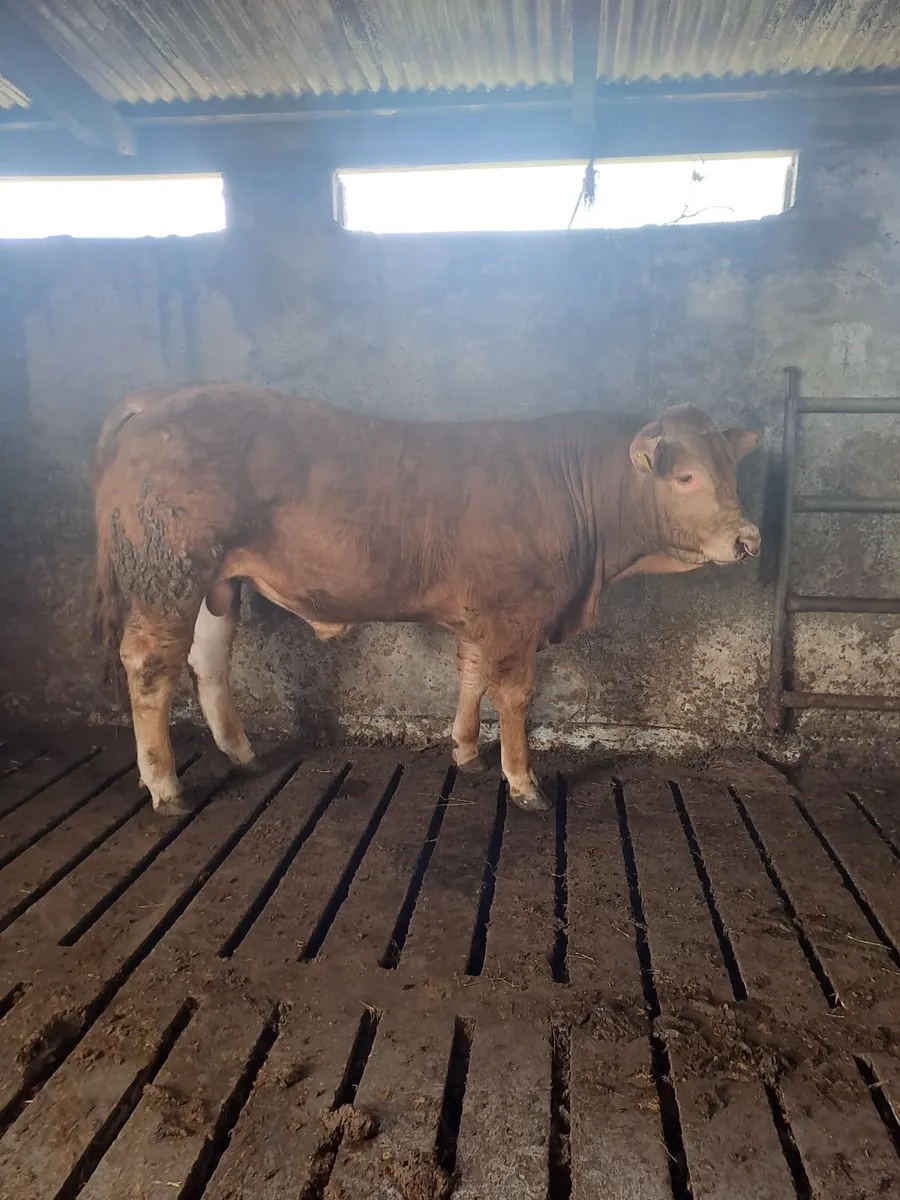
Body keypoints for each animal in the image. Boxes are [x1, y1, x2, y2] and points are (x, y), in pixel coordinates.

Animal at [92, 384, 760, 817]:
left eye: (731, 470)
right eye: (686, 477)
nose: (748, 538)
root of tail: (159, 398)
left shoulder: (480, 612)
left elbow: (470, 675)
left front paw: (466, 753)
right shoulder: (515, 612)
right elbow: (512, 693)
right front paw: (523, 782)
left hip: (214, 585)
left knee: (207, 661)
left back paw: (242, 754)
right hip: (167, 575)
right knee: (149, 668)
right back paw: (166, 787)